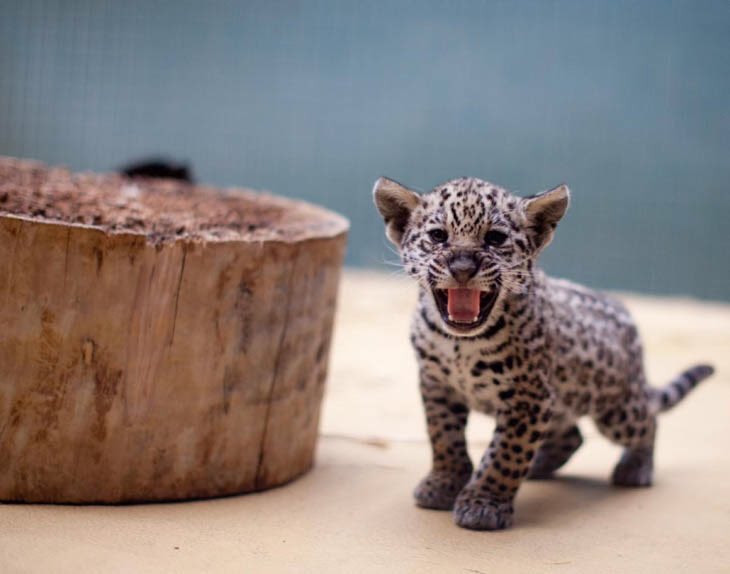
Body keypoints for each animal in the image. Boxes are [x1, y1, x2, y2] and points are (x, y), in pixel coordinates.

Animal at [372, 175, 714, 531]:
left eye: (495, 238)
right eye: (438, 236)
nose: (463, 268)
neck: (459, 343)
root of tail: (629, 320)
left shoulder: (528, 397)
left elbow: (506, 454)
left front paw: (483, 503)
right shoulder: (437, 385)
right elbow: (444, 438)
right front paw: (444, 483)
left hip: (615, 409)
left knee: (647, 421)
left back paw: (635, 469)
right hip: (561, 403)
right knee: (571, 436)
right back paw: (538, 465)